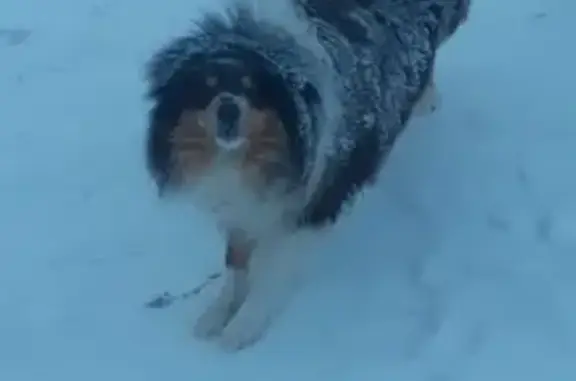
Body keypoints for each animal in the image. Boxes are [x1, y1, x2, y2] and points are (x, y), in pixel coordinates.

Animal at [143, 0, 468, 350]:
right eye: (207, 86)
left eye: (251, 87)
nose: (228, 110)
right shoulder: (241, 207)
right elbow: (235, 263)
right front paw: (216, 313)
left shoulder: (316, 203)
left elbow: (271, 273)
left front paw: (243, 327)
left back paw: (427, 100)